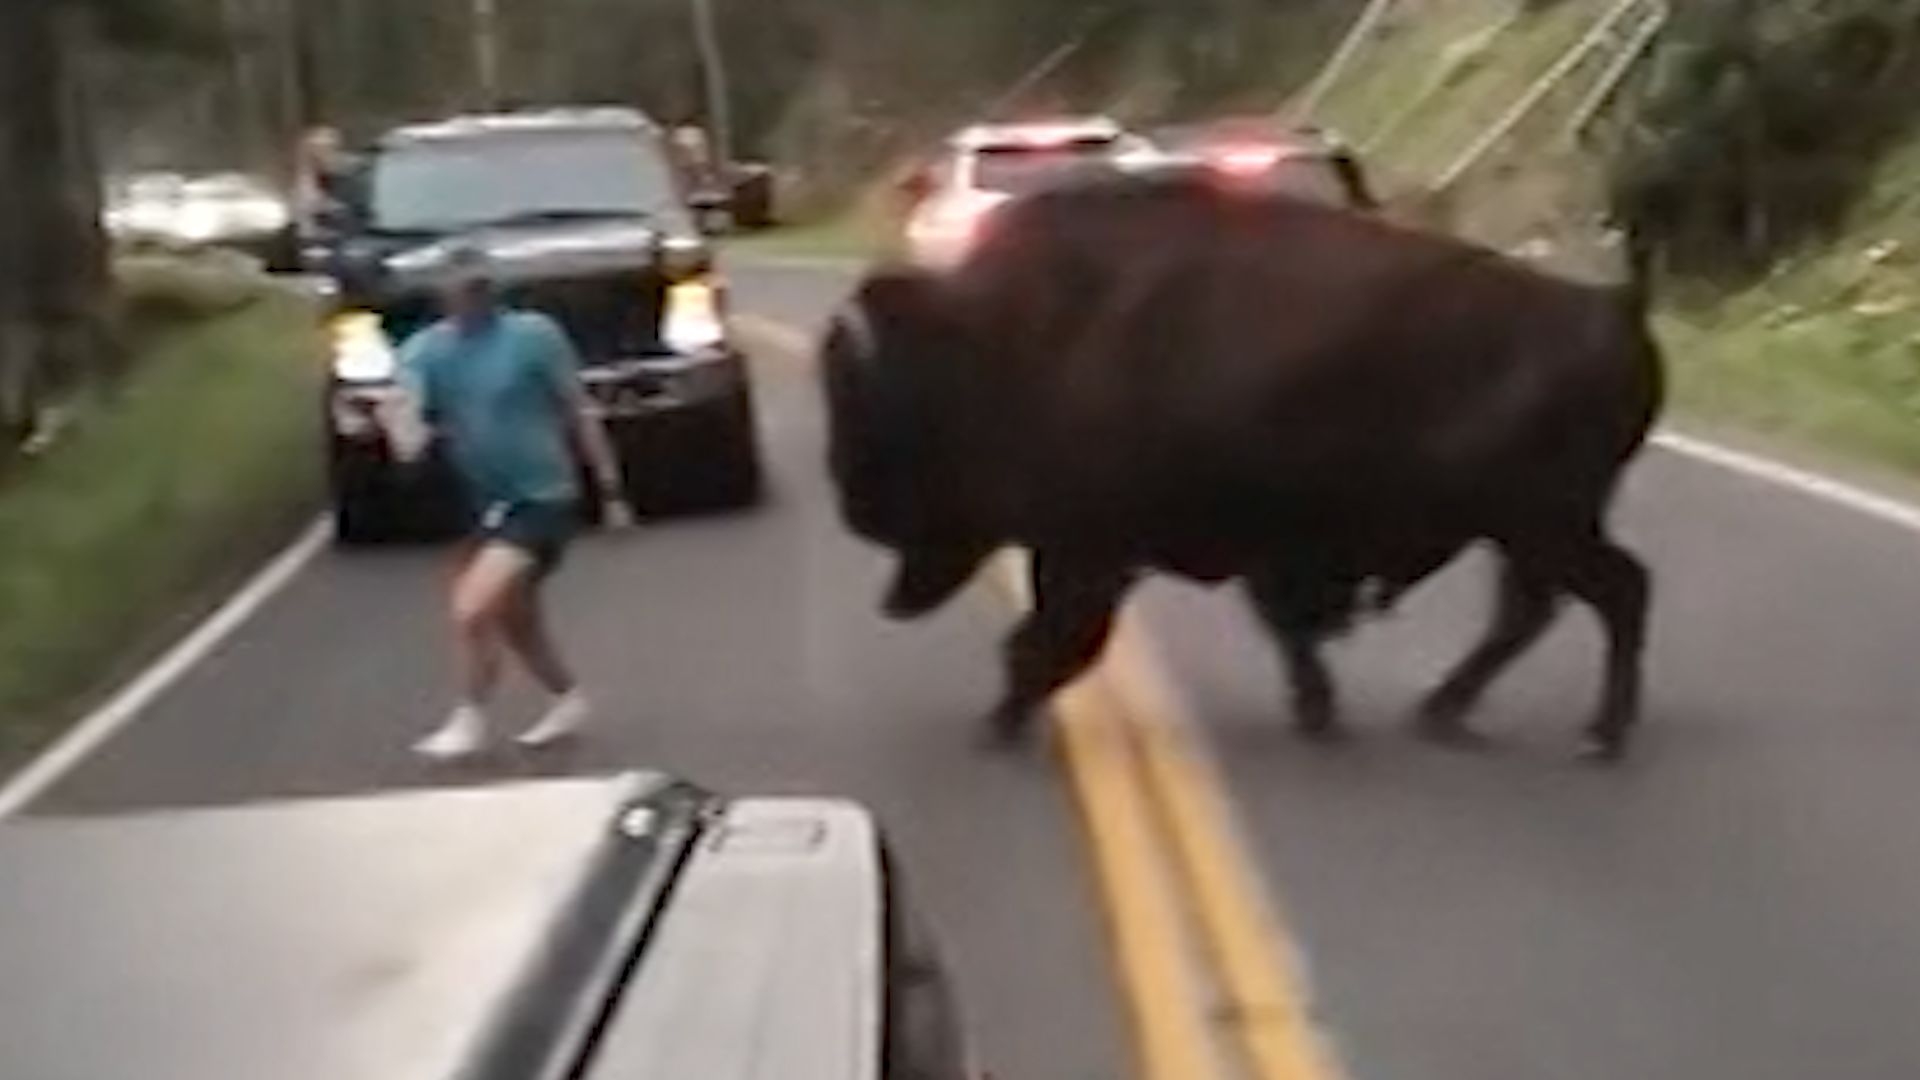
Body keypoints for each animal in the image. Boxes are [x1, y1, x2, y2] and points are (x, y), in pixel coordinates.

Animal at [825, 171, 1666, 753]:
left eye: (878, 410)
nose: (855, 510)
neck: (1005, 338)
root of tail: (1613, 309)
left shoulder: (1093, 549)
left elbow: (1055, 638)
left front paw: (996, 723)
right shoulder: (1238, 549)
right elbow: (1284, 628)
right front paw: (1317, 711)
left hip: (1540, 523)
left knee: (1611, 593)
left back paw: (1598, 735)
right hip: (1529, 529)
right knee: (1538, 609)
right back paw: (1447, 713)